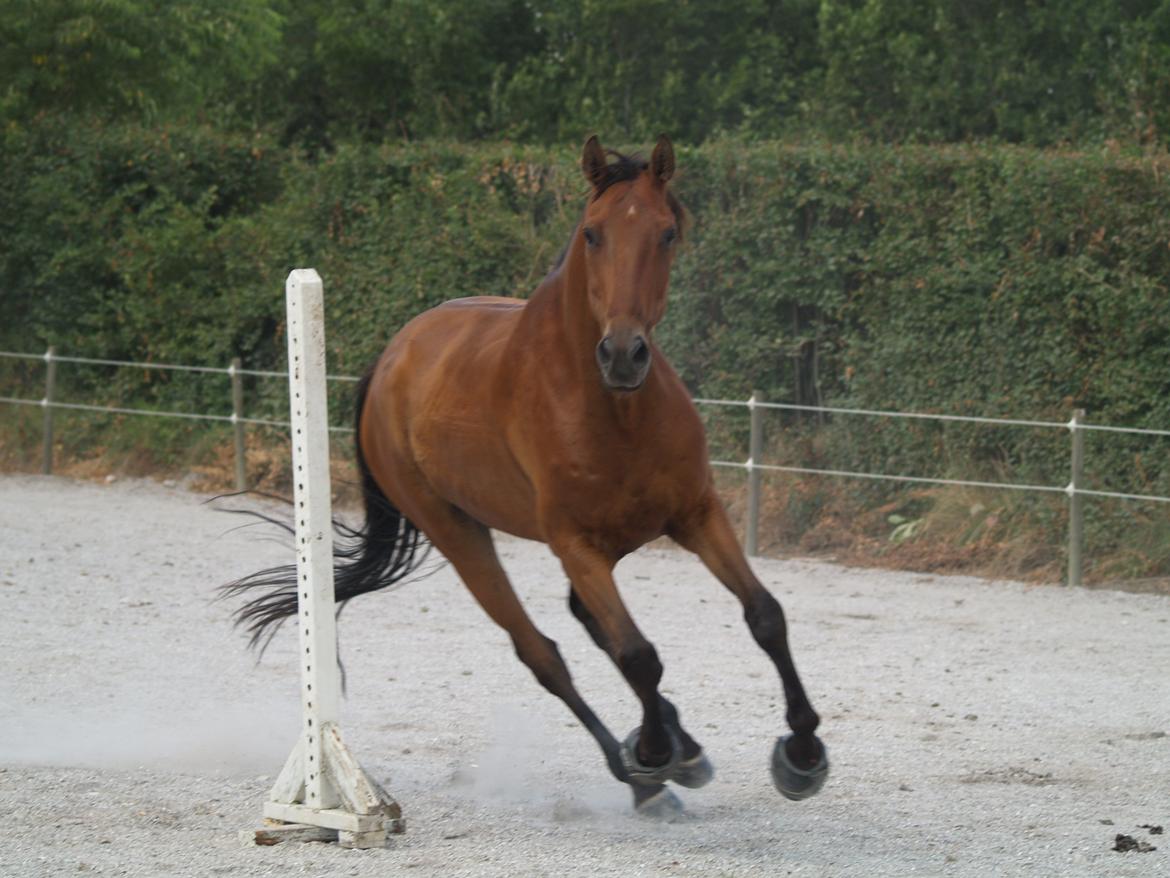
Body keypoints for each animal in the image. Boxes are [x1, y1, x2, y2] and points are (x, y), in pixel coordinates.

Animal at [225, 135, 833, 819]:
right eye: (592, 234)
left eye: (668, 233)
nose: (623, 354)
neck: (615, 410)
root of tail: (391, 359)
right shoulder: (576, 546)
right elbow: (638, 655)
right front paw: (653, 753)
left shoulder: (697, 514)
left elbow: (764, 615)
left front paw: (803, 754)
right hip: (460, 534)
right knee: (544, 654)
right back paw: (646, 778)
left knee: (588, 625)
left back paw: (682, 749)